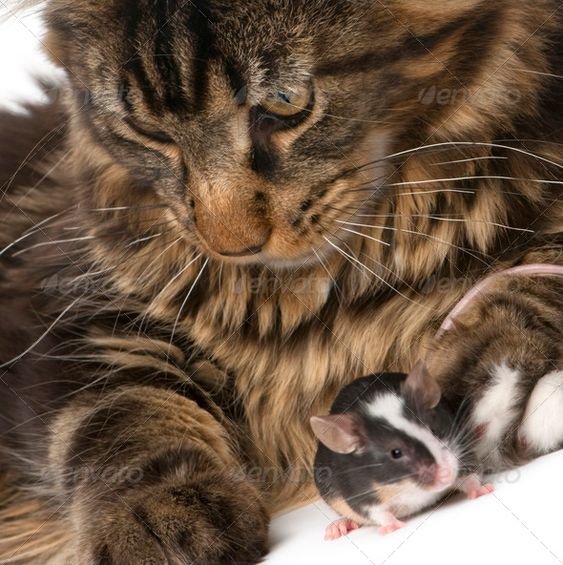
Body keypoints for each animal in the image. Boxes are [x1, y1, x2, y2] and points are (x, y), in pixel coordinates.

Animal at [0, 0, 560, 560]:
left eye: (286, 102)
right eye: (148, 132)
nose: (231, 246)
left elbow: (533, 286)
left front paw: (485, 375)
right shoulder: (79, 310)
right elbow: (118, 414)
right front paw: (155, 517)